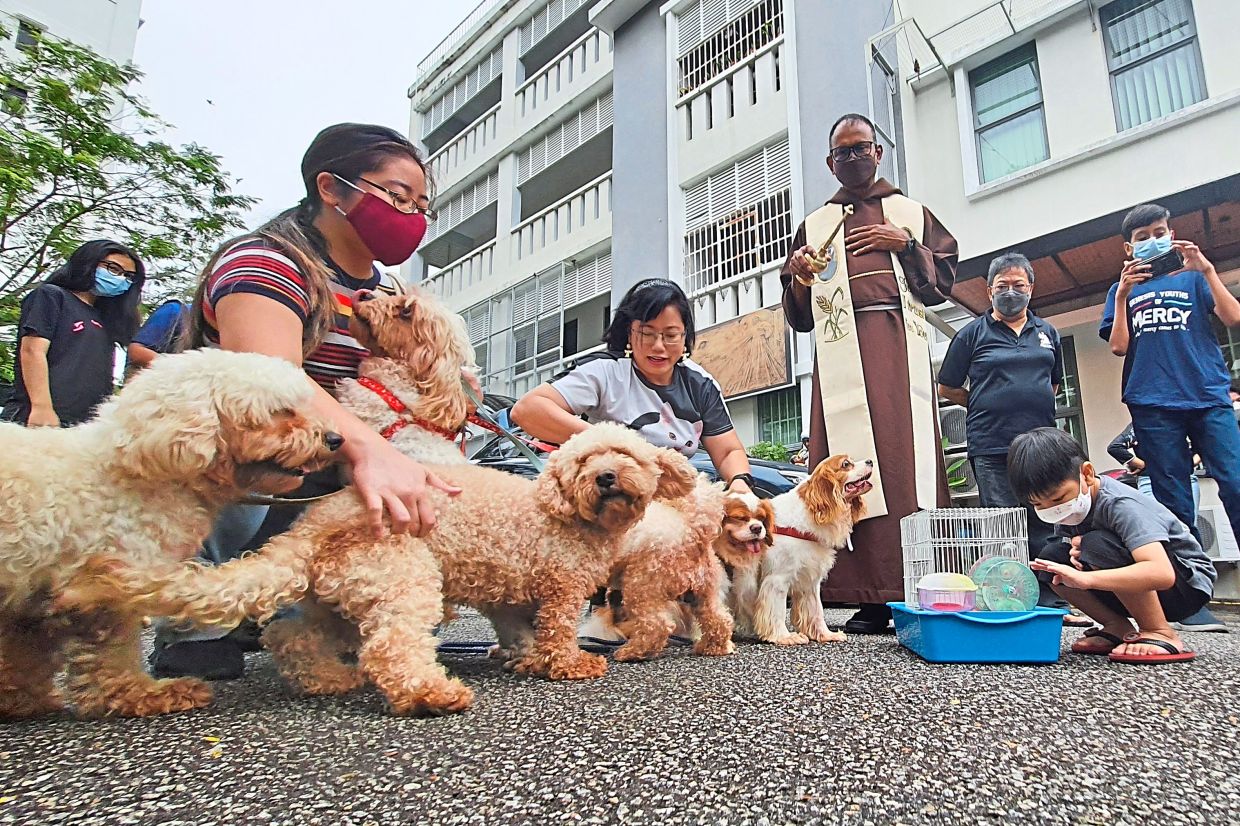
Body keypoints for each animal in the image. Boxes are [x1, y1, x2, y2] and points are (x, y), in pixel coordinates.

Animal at [0, 349, 339, 719]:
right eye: (279, 411)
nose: (335, 438)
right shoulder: (111, 583)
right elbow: (114, 653)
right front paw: (145, 694)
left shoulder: (30, 592)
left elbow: (24, 650)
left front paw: (21, 698)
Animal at [734, 456, 872, 644]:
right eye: (846, 464)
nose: (870, 461)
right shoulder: (777, 579)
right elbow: (776, 611)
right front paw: (784, 637)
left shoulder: (810, 580)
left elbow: (816, 611)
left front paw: (826, 634)